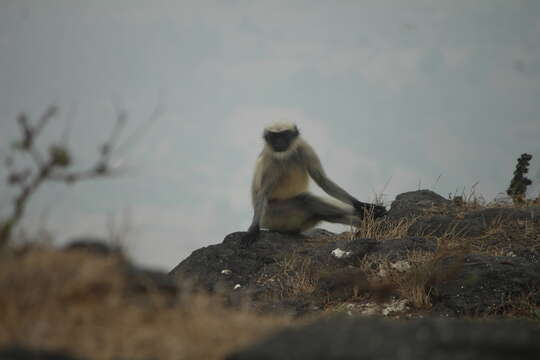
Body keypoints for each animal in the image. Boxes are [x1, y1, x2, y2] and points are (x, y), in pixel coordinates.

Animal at [242, 122, 388, 246]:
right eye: (274, 137)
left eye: (284, 135)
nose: (279, 142)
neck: (286, 154)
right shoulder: (270, 161)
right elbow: (263, 193)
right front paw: (253, 229)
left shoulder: (303, 146)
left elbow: (322, 179)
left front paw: (361, 205)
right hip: (273, 216)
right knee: (307, 200)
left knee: (323, 212)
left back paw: (369, 214)